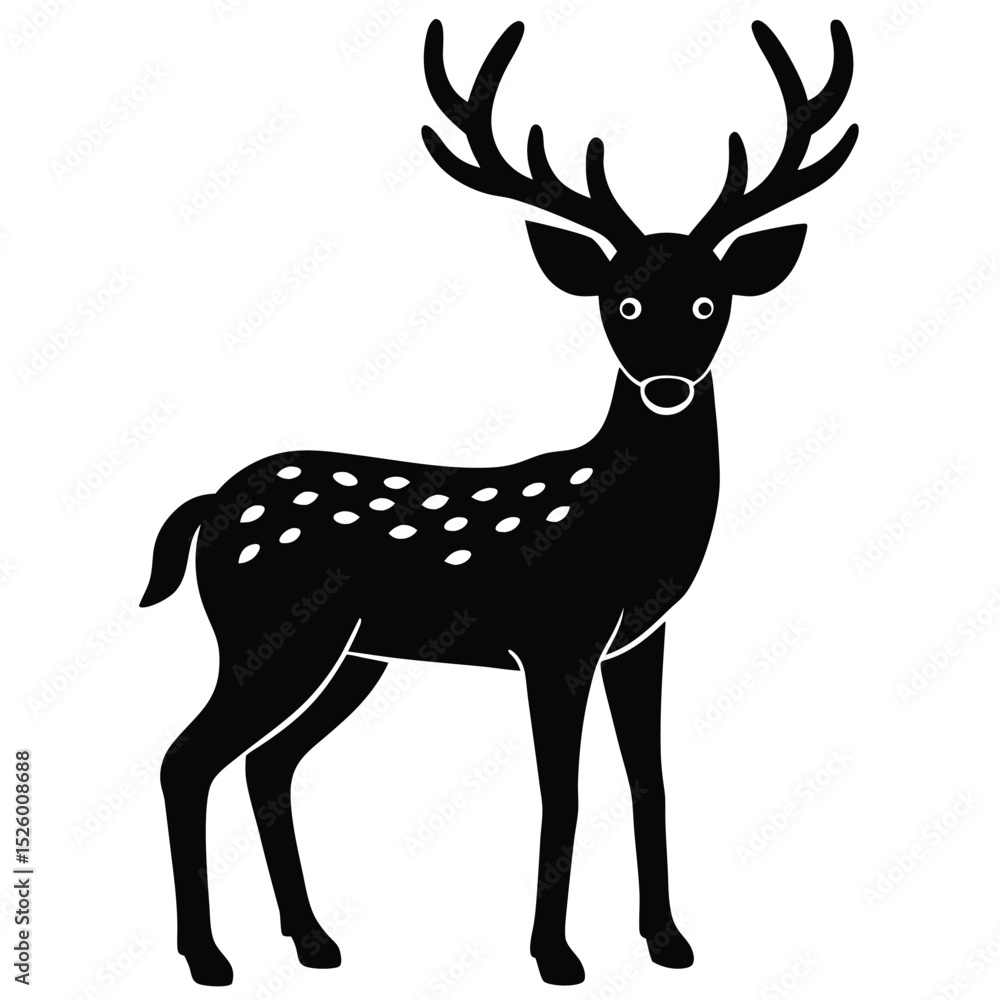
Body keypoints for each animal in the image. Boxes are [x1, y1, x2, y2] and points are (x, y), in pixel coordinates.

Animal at [140, 17, 857, 987]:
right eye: (622, 303)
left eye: (711, 302)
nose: (668, 385)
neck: (626, 530)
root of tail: (207, 506)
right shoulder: (556, 638)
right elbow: (565, 793)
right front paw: (556, 957)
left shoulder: (642, 637)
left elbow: (649, 780)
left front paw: (669, 943)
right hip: (267, 635)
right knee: (188, 760)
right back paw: (209, 958)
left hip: (350, 657)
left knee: (267, 766)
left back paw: (316, 943)